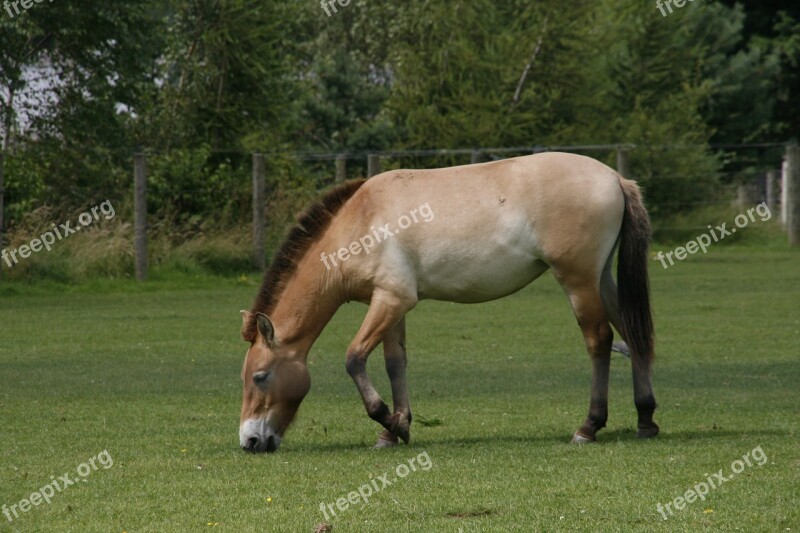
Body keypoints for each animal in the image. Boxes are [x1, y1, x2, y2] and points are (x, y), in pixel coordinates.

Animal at [238, 152, 656, 450]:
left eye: (260, 376)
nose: (250, 441)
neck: (361, 222)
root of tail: (615, 178)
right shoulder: (391, 303)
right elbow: (395, 363)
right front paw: (395, 431)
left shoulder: (392, 300)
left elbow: (354, 358)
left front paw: (388, 419)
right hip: (601, 280)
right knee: (632, 334)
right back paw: (646, 419)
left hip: (579, 282)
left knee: (600, 341)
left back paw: (589, 426)